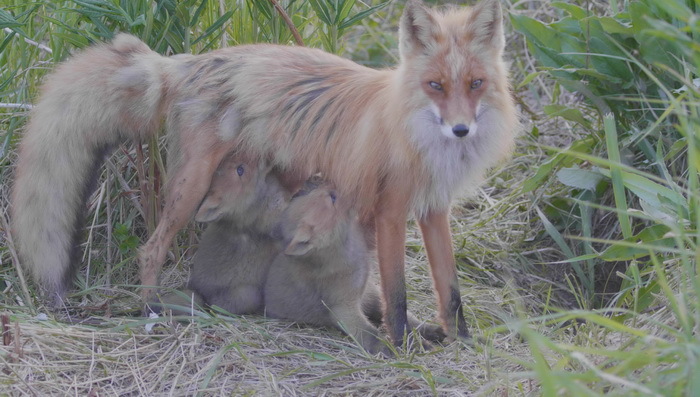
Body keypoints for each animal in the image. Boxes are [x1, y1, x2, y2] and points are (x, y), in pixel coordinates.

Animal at [8, 0, 516, 344]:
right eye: (435, 86)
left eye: (475, 84)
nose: (461, 129)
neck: (417, 133)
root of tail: (183, 62)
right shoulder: (391, 210)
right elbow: (397, 294)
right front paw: (402, 345)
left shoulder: (434, 209)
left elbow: (450, 290)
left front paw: (462, 342)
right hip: (192, 188)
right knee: (150, 250)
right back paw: (151, 311)